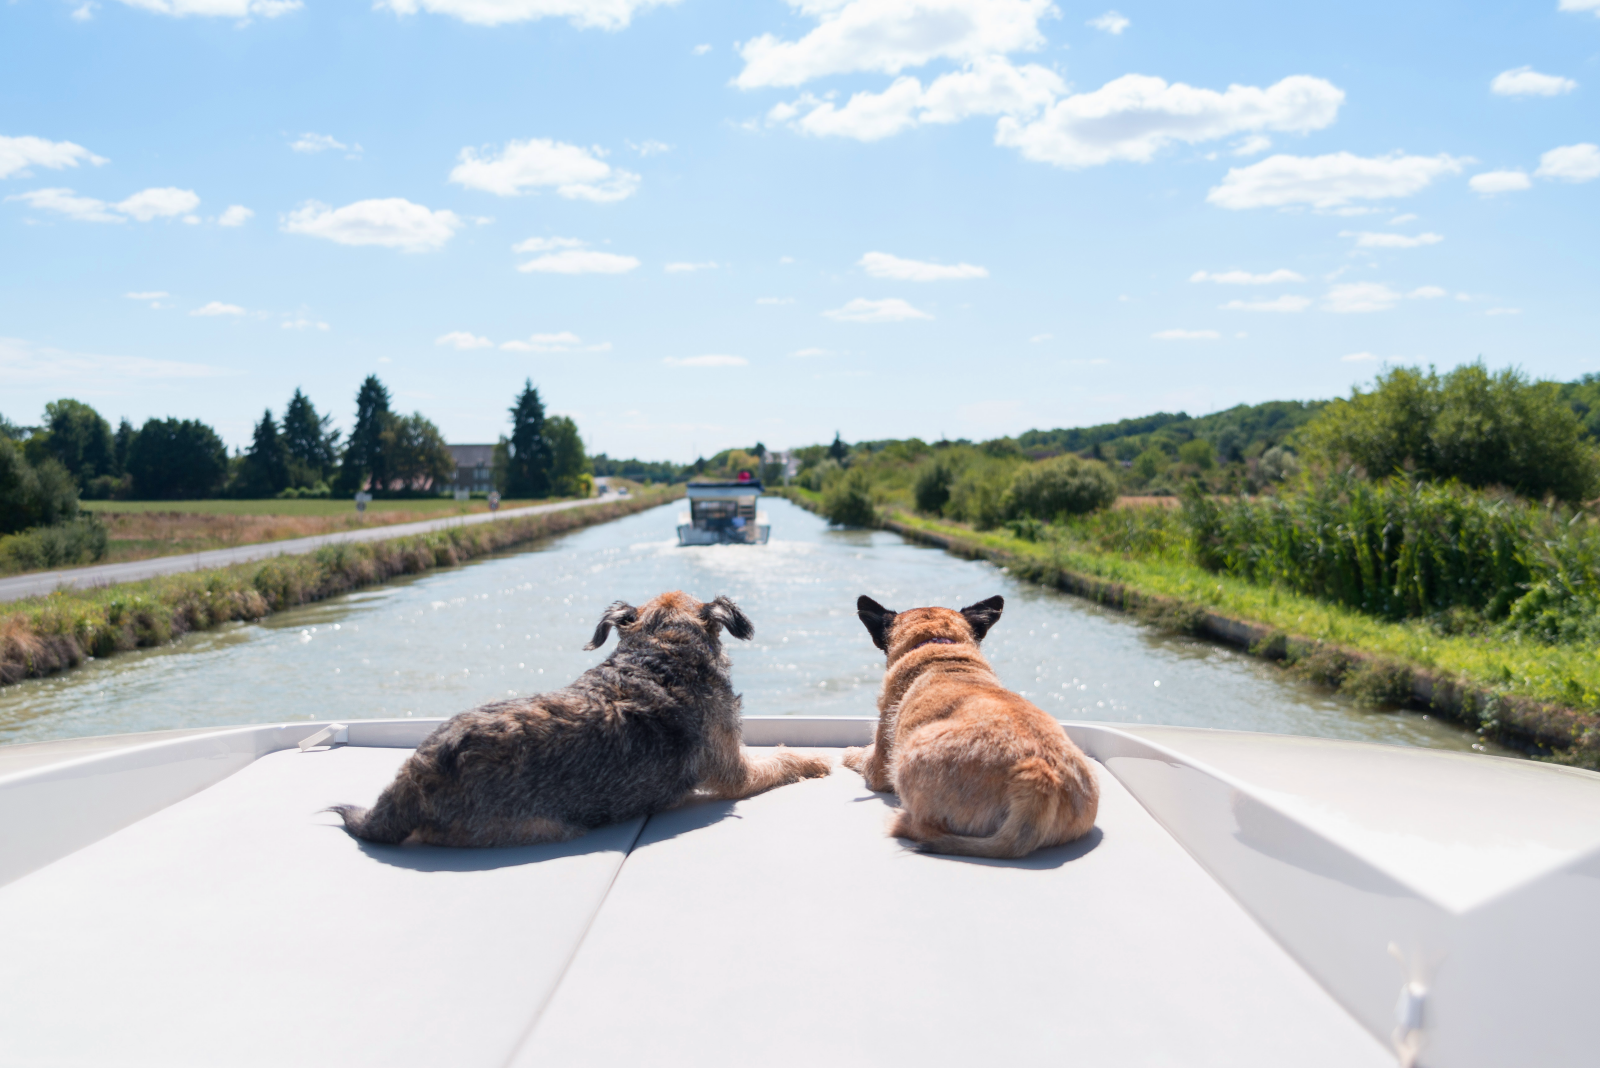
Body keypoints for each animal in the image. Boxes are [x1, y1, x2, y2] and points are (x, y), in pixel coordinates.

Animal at [844, 591, 1094, 856]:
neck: (938, 646)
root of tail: (1039, 774)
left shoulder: (879, 763)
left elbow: (863, 756)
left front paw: (850, 753)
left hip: (909, 757)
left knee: (925, 827)